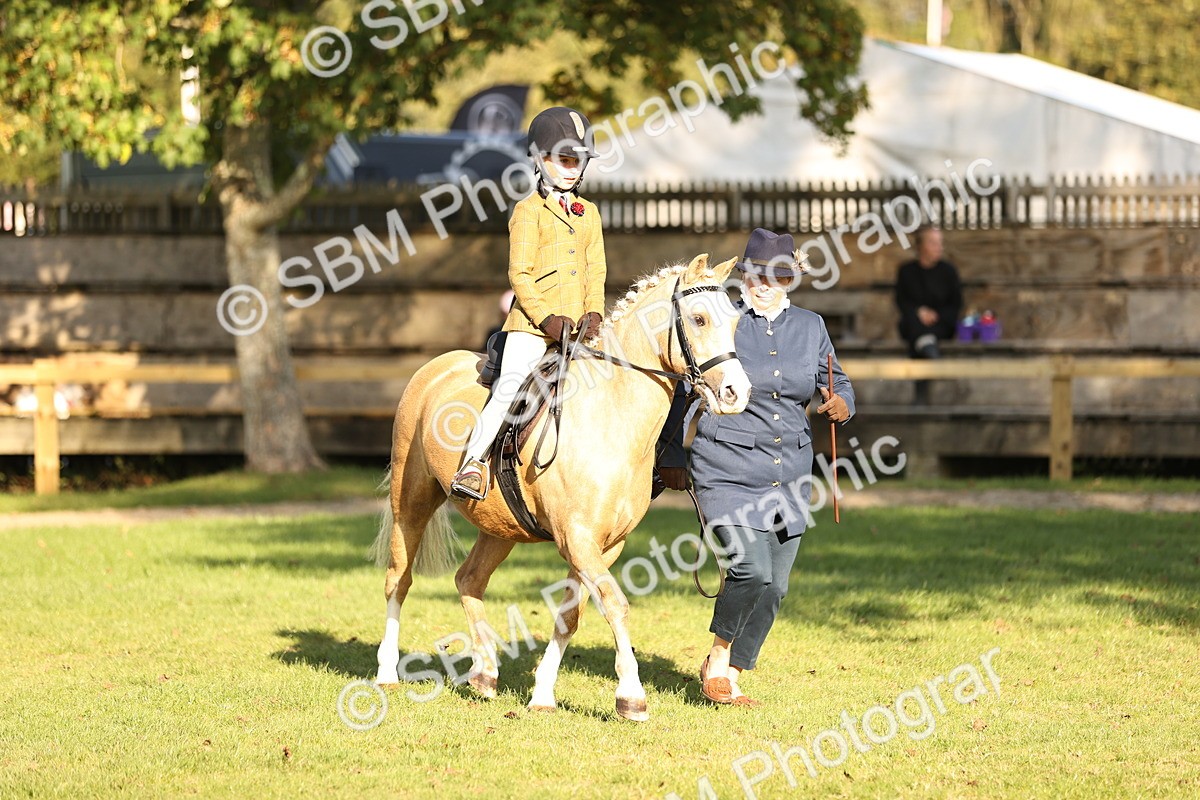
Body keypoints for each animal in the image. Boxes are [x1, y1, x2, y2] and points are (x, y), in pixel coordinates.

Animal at [371, 252, 751, 721]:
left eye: (734, 321)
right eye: (698, 319)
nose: (737, 393)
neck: (610, 416)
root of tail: (435, 366)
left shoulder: (605, 545)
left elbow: (571, 616)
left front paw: (542, 694)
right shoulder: (578, 538)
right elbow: (616, 603)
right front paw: (631, 696)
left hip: (500, 527)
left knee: (469, 580)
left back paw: (485, 672)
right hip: (411, 502)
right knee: (398, 579)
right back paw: (387, 671)